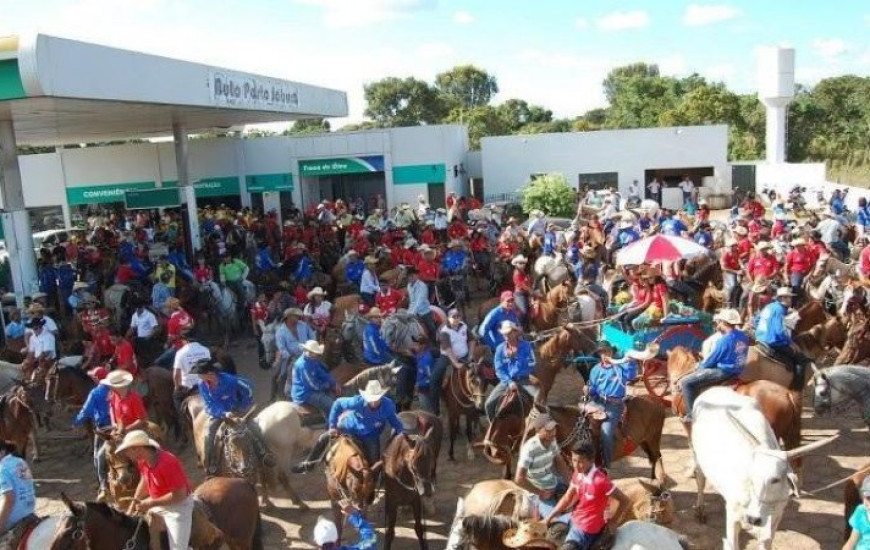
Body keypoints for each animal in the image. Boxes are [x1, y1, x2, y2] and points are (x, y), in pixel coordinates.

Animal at [386, 414, 446, 550]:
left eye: (431, 462)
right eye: (413, 466)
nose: (426, 491)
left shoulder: (416, 500)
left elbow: (419, 529)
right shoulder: (391, 502)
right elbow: (389, 532)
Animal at [696, 388, 836, 550]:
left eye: (775, 479)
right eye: (751, 478)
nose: (752, 518)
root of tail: (713, 389)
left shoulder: (776, 517)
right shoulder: (732, 515)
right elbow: (732, 544)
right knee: (700, 480)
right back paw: (700, 509)